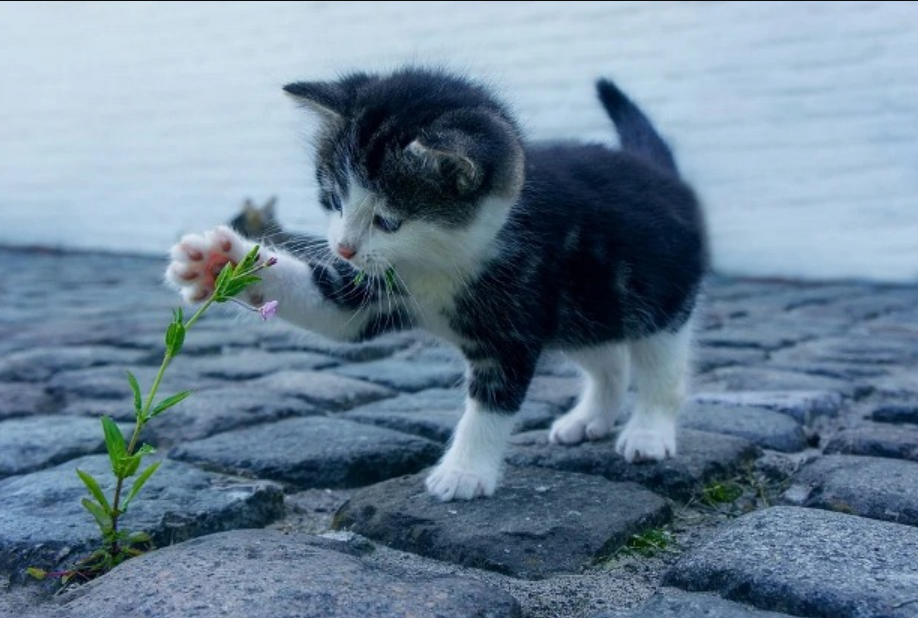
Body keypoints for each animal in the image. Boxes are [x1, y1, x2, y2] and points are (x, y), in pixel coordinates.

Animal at [167, 67, 712, 500]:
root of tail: (660, 172)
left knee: (661, 368)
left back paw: (648, 432)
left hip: (659, 297)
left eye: (388, 220)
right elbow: (332, 308)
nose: (343, 248)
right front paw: (219, 261)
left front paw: (464, 473)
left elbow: (492, 402)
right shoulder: (376, 288)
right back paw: (590, 418)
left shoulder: (514, 319)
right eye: (334, 200)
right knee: (608, 359)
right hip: (585, 308)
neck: (439, 261)